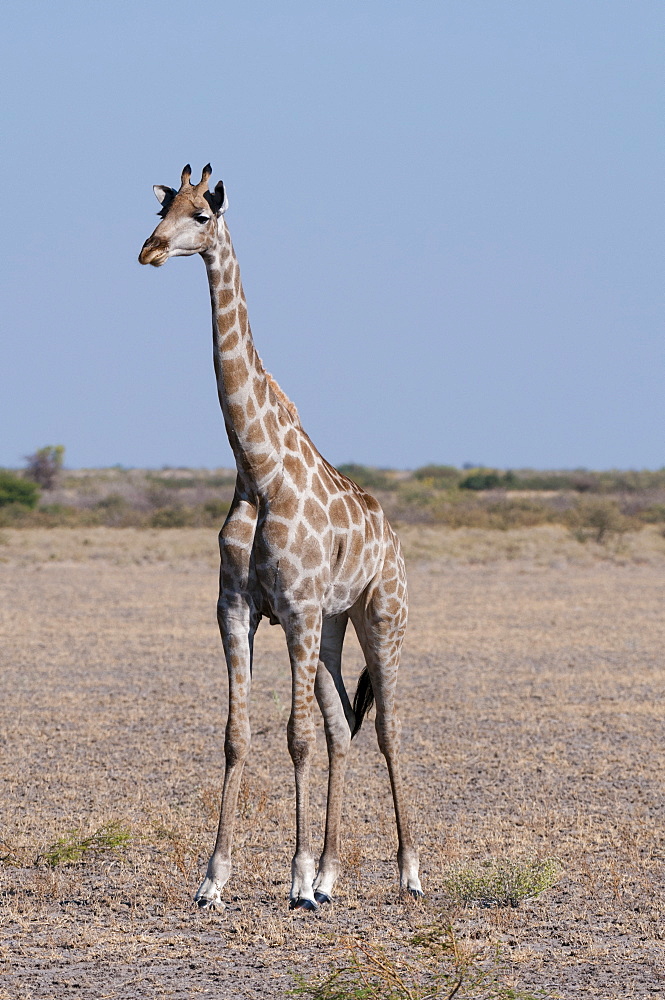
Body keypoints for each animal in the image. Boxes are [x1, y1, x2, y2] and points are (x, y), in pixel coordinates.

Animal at [137, 166, 422, 916]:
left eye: (202, 214)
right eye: (162, 208)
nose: (150, 250)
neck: (257, 467)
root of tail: (390, 533)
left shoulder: (293, 609)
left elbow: (293, 737)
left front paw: (292, 879)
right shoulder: (237, 610)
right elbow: (238, 736)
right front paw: (214, 878)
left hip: (379, 616)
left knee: (386, 728)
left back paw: (406, 872)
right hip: (331, 625)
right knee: (342, 727)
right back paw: (329, 873)